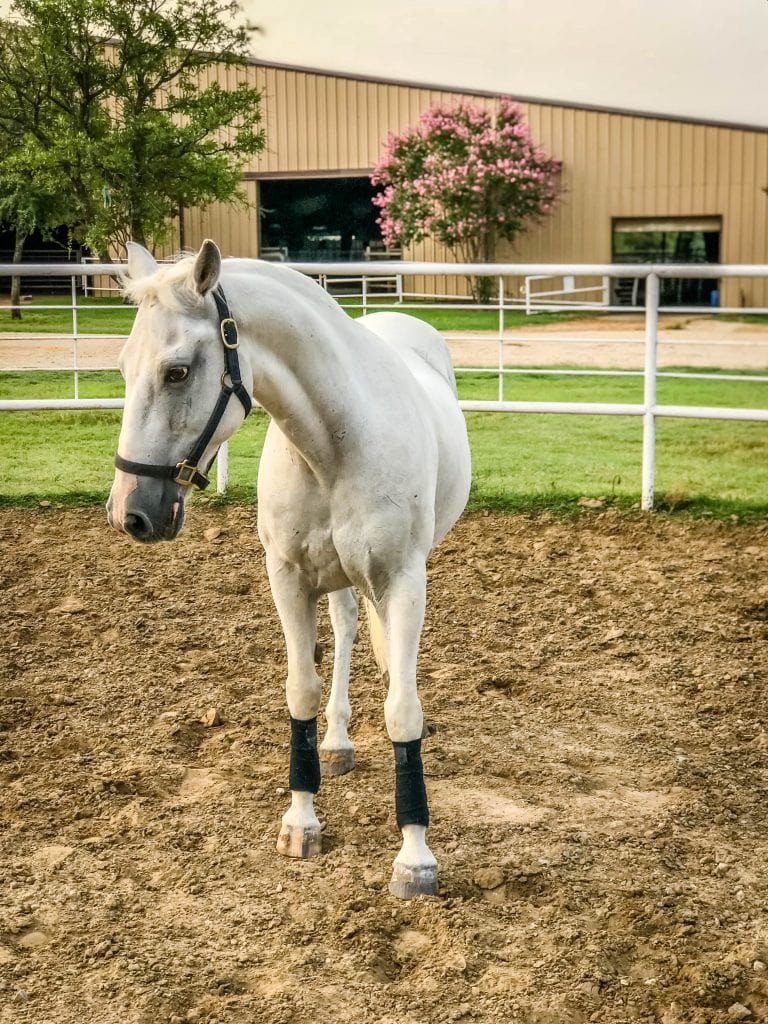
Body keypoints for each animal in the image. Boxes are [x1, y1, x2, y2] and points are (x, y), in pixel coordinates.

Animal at [105, 239, 473, 897]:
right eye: (123, 368)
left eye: (177, 371)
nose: (131, 514)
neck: (337, 442)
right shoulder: (289, 580)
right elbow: (301, 690)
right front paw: (302, 820)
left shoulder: (404, 580)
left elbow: (403, 707)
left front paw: (415, 856)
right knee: (349, 627)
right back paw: (339, 741)